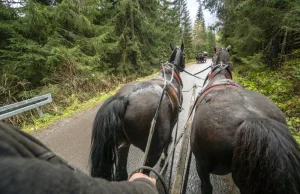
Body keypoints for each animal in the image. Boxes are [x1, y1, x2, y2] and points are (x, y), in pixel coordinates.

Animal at [90, 43, 185, 181]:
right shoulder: (173, 121)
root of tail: (126, 98)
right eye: (184, 55)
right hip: (152, 152)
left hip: (122, 144)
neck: (168, 75)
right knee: (144, 172)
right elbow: (169, 141)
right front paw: (164, 160)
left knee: (121, 173)